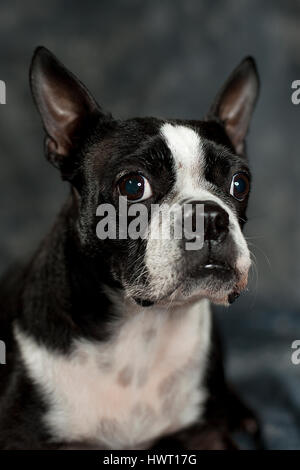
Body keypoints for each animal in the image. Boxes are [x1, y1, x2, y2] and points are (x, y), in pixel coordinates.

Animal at [0, 48, 258, 452]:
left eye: (240, 183)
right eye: (133, 186)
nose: (210, 217)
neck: (142, 330)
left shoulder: (207, 434)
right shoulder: (20, 435)